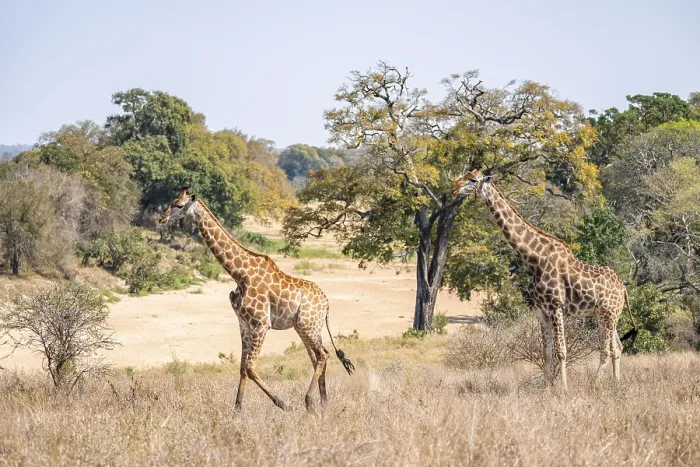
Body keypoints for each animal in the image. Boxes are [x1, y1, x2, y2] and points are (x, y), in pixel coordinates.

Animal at [158, 187, 354, 411]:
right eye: (172, 202)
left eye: (179, 205)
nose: (161, 218)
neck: (239, 274)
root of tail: (327, 304)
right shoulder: (244, 323)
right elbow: (243, 368)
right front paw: (237, 410)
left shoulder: (261, 324)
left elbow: (251, 368)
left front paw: (282, 403)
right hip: (303, 327)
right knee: (319, 357)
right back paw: (322, 402)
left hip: (308, 325)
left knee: (323, 355)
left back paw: (309, 399)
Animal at [452, 170, 637, 390]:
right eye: (464, 175)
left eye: (473, 179)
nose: (454, 189)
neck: (534, 258)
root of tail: (623, 289)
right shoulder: (541, 311)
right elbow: (546, 352)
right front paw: (547, 388)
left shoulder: (556, 307)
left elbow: (561, 351)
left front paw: (564, 389)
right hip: (610, 315)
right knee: (618, 347)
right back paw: (617, 384)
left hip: (606, 315)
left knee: (606, 350)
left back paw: (594, 384)